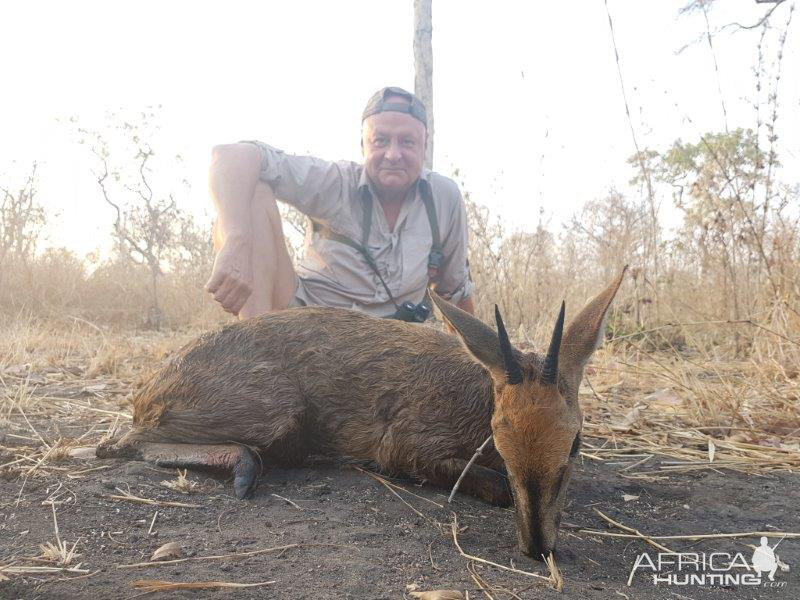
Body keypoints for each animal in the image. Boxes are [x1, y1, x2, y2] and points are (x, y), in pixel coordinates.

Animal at [98, 270, 624, 560]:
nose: (538, 546)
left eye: (576, 442)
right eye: (498, 435)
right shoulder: (404, 451)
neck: (477, 396)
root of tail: (149, 387)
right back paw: (244, 468)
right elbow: (496, 488)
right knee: (125, 441)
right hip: (275, 414)